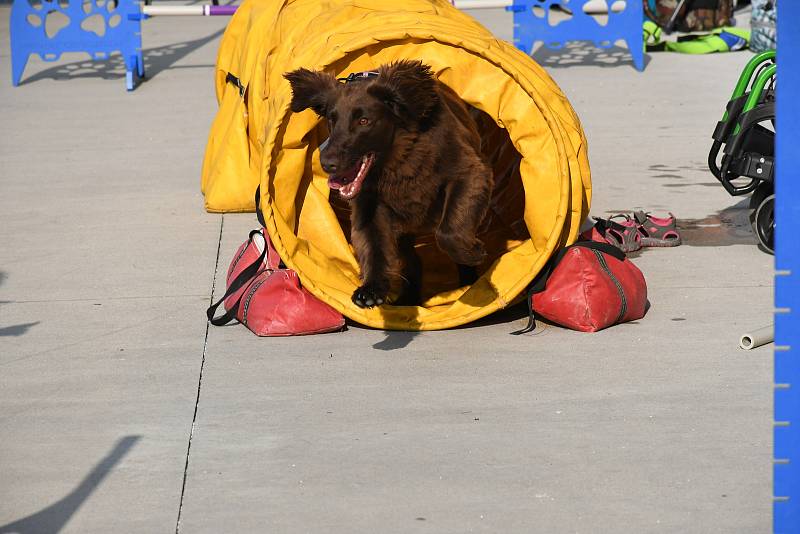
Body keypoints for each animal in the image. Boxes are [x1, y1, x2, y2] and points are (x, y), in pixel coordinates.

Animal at [284, 60, 490, 308]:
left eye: (364, 121)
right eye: (332, 119)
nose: (327, 163)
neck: (397, 159)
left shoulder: (469, 173)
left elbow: (448, 233)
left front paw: (475, 252)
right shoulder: (369, 206)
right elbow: (375, 247)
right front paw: (371, 289)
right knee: (411, 261)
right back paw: (409, 297)